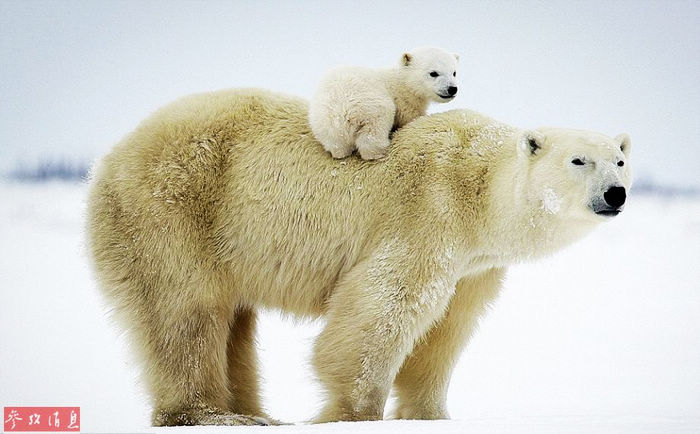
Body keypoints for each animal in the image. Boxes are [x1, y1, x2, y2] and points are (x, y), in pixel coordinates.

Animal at [85, 87, 632, 424]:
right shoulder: (428, 212)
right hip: (174, 208)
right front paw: (354, 412)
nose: (616, 193)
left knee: (233, 322)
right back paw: (213, 414)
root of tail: (110, 157)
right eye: (579, 160)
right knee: (186, 309)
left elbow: (448, 327)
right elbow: (385, 306)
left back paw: (256, 412)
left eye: (620, 159)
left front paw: (431, 415)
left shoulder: (476, 265)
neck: (478, 187)